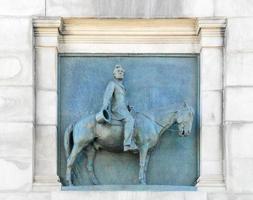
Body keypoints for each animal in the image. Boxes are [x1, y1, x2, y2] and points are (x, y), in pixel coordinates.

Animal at [64, 103, 195, 186]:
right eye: (189, 115)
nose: (187, 132)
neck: (152, 121)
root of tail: (77, 122)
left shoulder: (149, 151)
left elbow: (145, 166)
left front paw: (144, 181)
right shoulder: (143, 148)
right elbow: (142, 164)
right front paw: (141, 182)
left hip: (90, 149)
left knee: (89, 166)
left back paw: (96, 184)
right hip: (79, 145)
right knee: (70, 160)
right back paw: (70, 183)